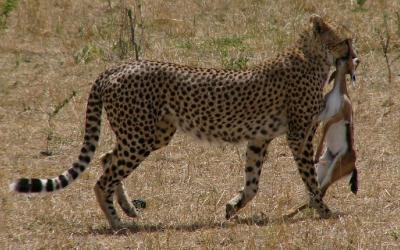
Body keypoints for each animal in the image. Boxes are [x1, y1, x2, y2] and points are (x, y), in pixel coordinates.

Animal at [10, 15, 356, 229]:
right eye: (346, 41)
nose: (355, 57)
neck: (311, 57)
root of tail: (118, 66)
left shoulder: (259, 139)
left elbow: (253, 183)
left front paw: (233, 206)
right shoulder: (298, 136)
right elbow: (310, 180)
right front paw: (324, 211)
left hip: (152, 134)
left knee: (107, 158)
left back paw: (127, 209)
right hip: (141, 136)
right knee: (102, 178)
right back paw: (116, 223)